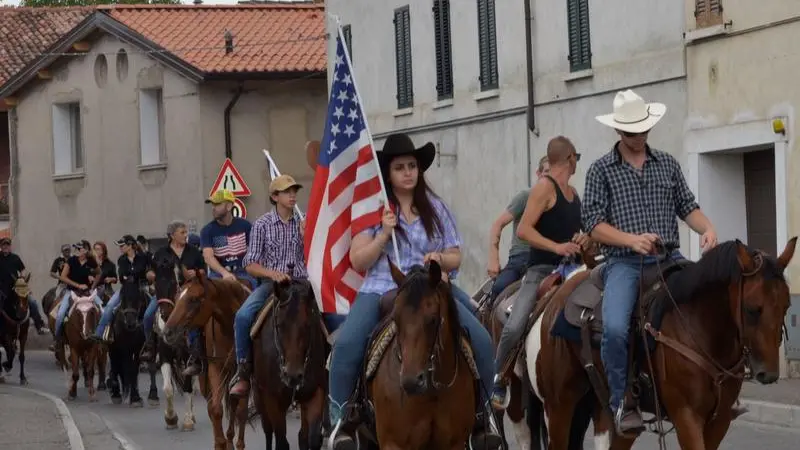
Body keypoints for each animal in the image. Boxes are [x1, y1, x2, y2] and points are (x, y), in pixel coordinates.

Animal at [161, 270, 248, 450]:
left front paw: (237, 444)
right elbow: (215, 409)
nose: (168, 332)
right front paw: (221, 443)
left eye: (194, 299)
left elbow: (241, 411)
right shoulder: (216, 367)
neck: (230, 326)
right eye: (177, 295)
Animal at [250, 278, 324, 450]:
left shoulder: (315, 392)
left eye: (308, 325)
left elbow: (312, 438)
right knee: (268, 431)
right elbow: (281, 441)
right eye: (279, 325)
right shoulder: (272, 399)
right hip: (258, 395)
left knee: (302, 435)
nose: (293, 375)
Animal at [524, 237, 792, 448]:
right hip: (559, 406)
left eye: (786, 305)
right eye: (752, 309)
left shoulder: (720, 420)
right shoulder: (686, 416)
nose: (768, 374)